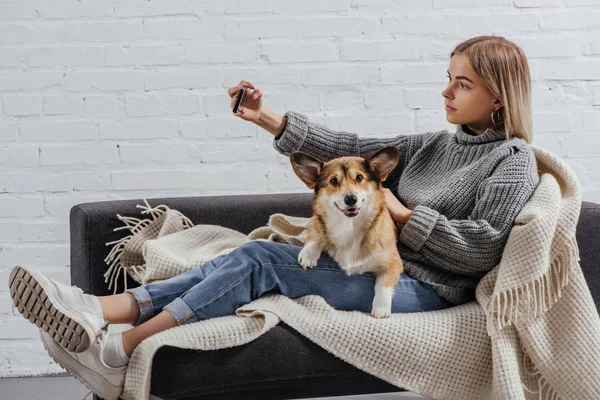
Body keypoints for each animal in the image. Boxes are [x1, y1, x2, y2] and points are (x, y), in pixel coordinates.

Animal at [290, 147, 406, 318]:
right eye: (333, 181)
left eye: (359, 177)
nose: (351, 199)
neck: (349, 226)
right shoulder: (316, 220)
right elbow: (317, 232)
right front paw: (308, 254)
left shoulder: (393, 263)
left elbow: (383, 284)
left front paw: (381, 308)